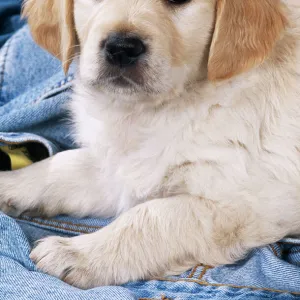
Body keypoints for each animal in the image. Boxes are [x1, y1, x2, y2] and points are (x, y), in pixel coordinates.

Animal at [0, 0, 300, 290]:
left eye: (179, 0)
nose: (121, 48)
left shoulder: (250, 203)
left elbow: (151, 216)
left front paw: (79, 253)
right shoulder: (123, 169)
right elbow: (65, 165)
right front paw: (11, 183)